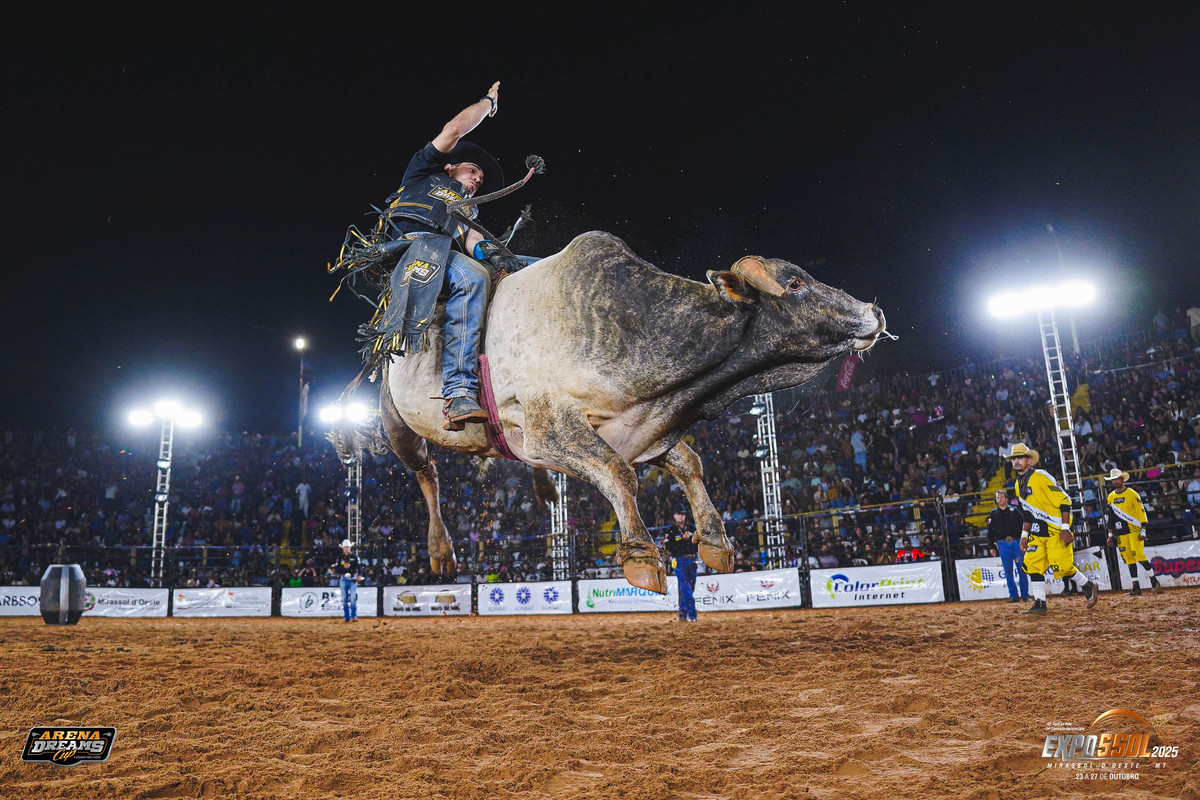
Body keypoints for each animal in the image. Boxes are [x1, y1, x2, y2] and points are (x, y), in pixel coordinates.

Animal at [353, 230, 886, 594]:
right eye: (794, 283)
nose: (874, 311)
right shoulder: (549, 425)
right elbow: (617, 473)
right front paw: (641, 554)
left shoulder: (644, 426)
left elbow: (687, 463)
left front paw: (715, 542)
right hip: (397, 423)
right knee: (426, 474)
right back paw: (441, 551)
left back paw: (545, 489)